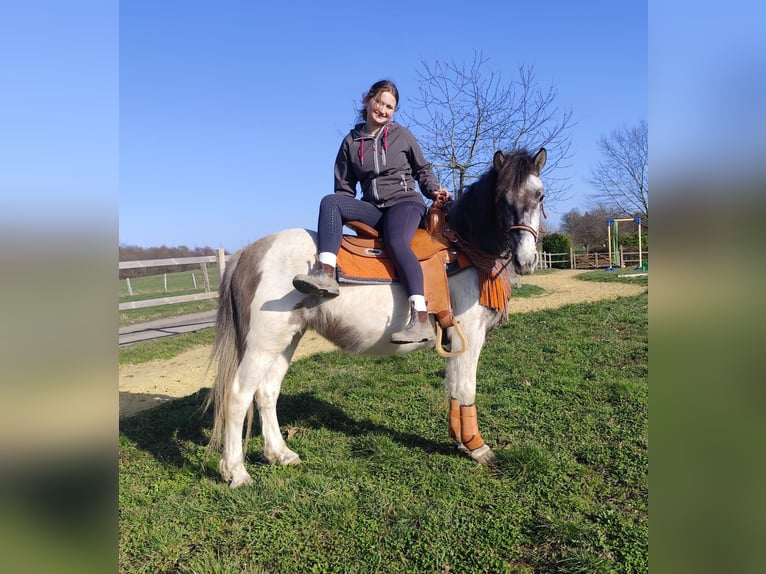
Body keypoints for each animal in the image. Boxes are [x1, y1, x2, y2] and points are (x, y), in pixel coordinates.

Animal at [206, 147, 547, 488]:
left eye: (540, 195)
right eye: (501, 198)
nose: (526, 259)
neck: (464, 248)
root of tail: (246, 252)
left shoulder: (455, 340)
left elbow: (453, 388)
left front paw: (461, 441)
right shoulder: (470, 333)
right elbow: (465, 388)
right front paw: (477, 447)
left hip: (286, 339)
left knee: (267, 392)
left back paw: (280, 454)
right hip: (262, 344)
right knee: (238, 396)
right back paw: (236, 471)